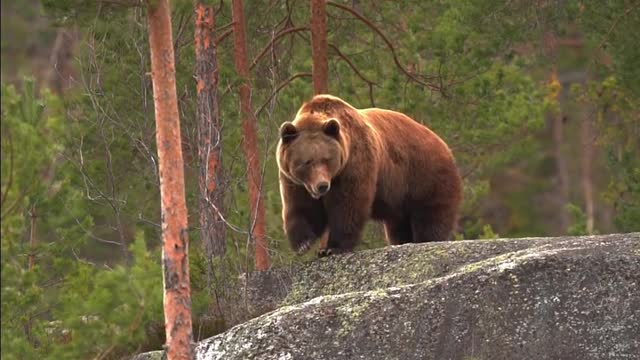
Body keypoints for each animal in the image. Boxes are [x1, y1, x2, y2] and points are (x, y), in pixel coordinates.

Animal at [276, 94, 460, 258]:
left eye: (327, 159)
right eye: (307, 162)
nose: (322, 186)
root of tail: (445, 146)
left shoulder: (355, 163)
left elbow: (348, 204)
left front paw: (332, 248)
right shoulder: (294, 180)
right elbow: (302, 206)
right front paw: (303, 244)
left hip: (425, 176)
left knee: (431, 216)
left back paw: (427, 239)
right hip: (401, 199)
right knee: (398, 227)